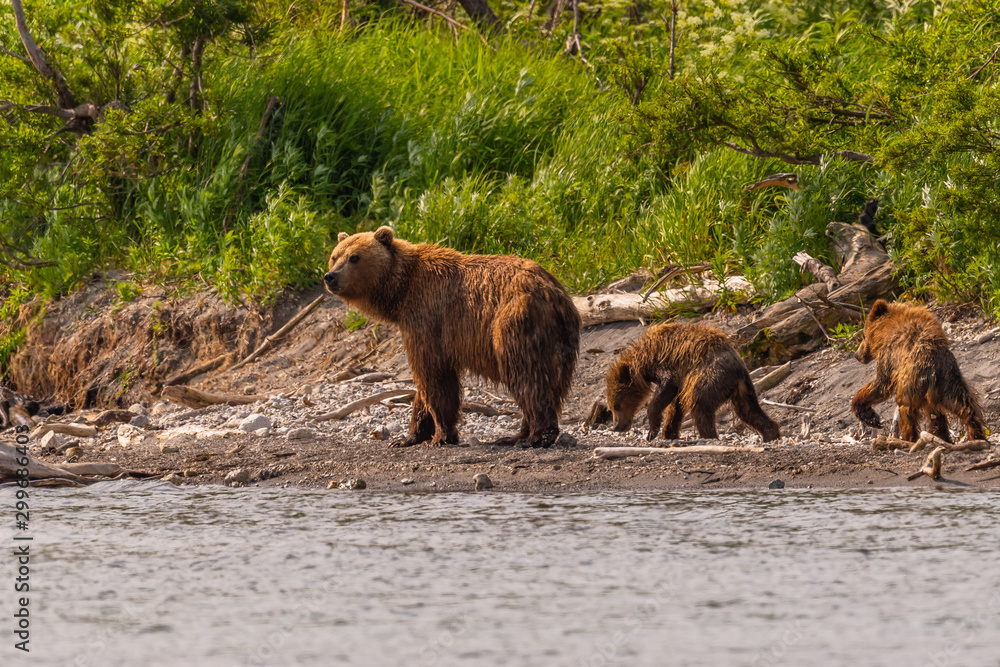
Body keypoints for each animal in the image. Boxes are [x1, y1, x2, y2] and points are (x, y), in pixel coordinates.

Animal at [324, 227, 584, 452]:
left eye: (355, 257)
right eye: (334, 256)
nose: (330, 277)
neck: (401, 292)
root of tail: (553, 292)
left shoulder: (428, 319)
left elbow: (435, 377)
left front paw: (440, 436)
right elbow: (424, 385)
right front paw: (408, 437)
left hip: (515, 322)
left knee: (526, 376)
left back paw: (535, 437)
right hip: (562, 340)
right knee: (551, 383)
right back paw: (515, 436)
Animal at [600, 324, 780, 444]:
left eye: (616, 406)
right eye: (611, 407)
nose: (617, 427)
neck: (642, 364)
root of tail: (738, 368)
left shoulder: (665, 363)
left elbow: (667, 389)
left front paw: (653, 431)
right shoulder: (681, 378)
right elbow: (676, 405)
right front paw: (669, 433)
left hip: (710, 377)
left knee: (700, 406)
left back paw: (708, 436)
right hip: (743, 388)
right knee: (749, 410)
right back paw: (771, 434)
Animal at [852, 302, 984, 444]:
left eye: (863, 335)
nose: (857, 355)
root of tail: (933, 369)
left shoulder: (889, 356)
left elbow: (881, 385)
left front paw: (869, 415)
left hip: (912, 382)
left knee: (906, 409)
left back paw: (908, 439)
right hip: (950, 382)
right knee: (963, 408)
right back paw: (969, 435)